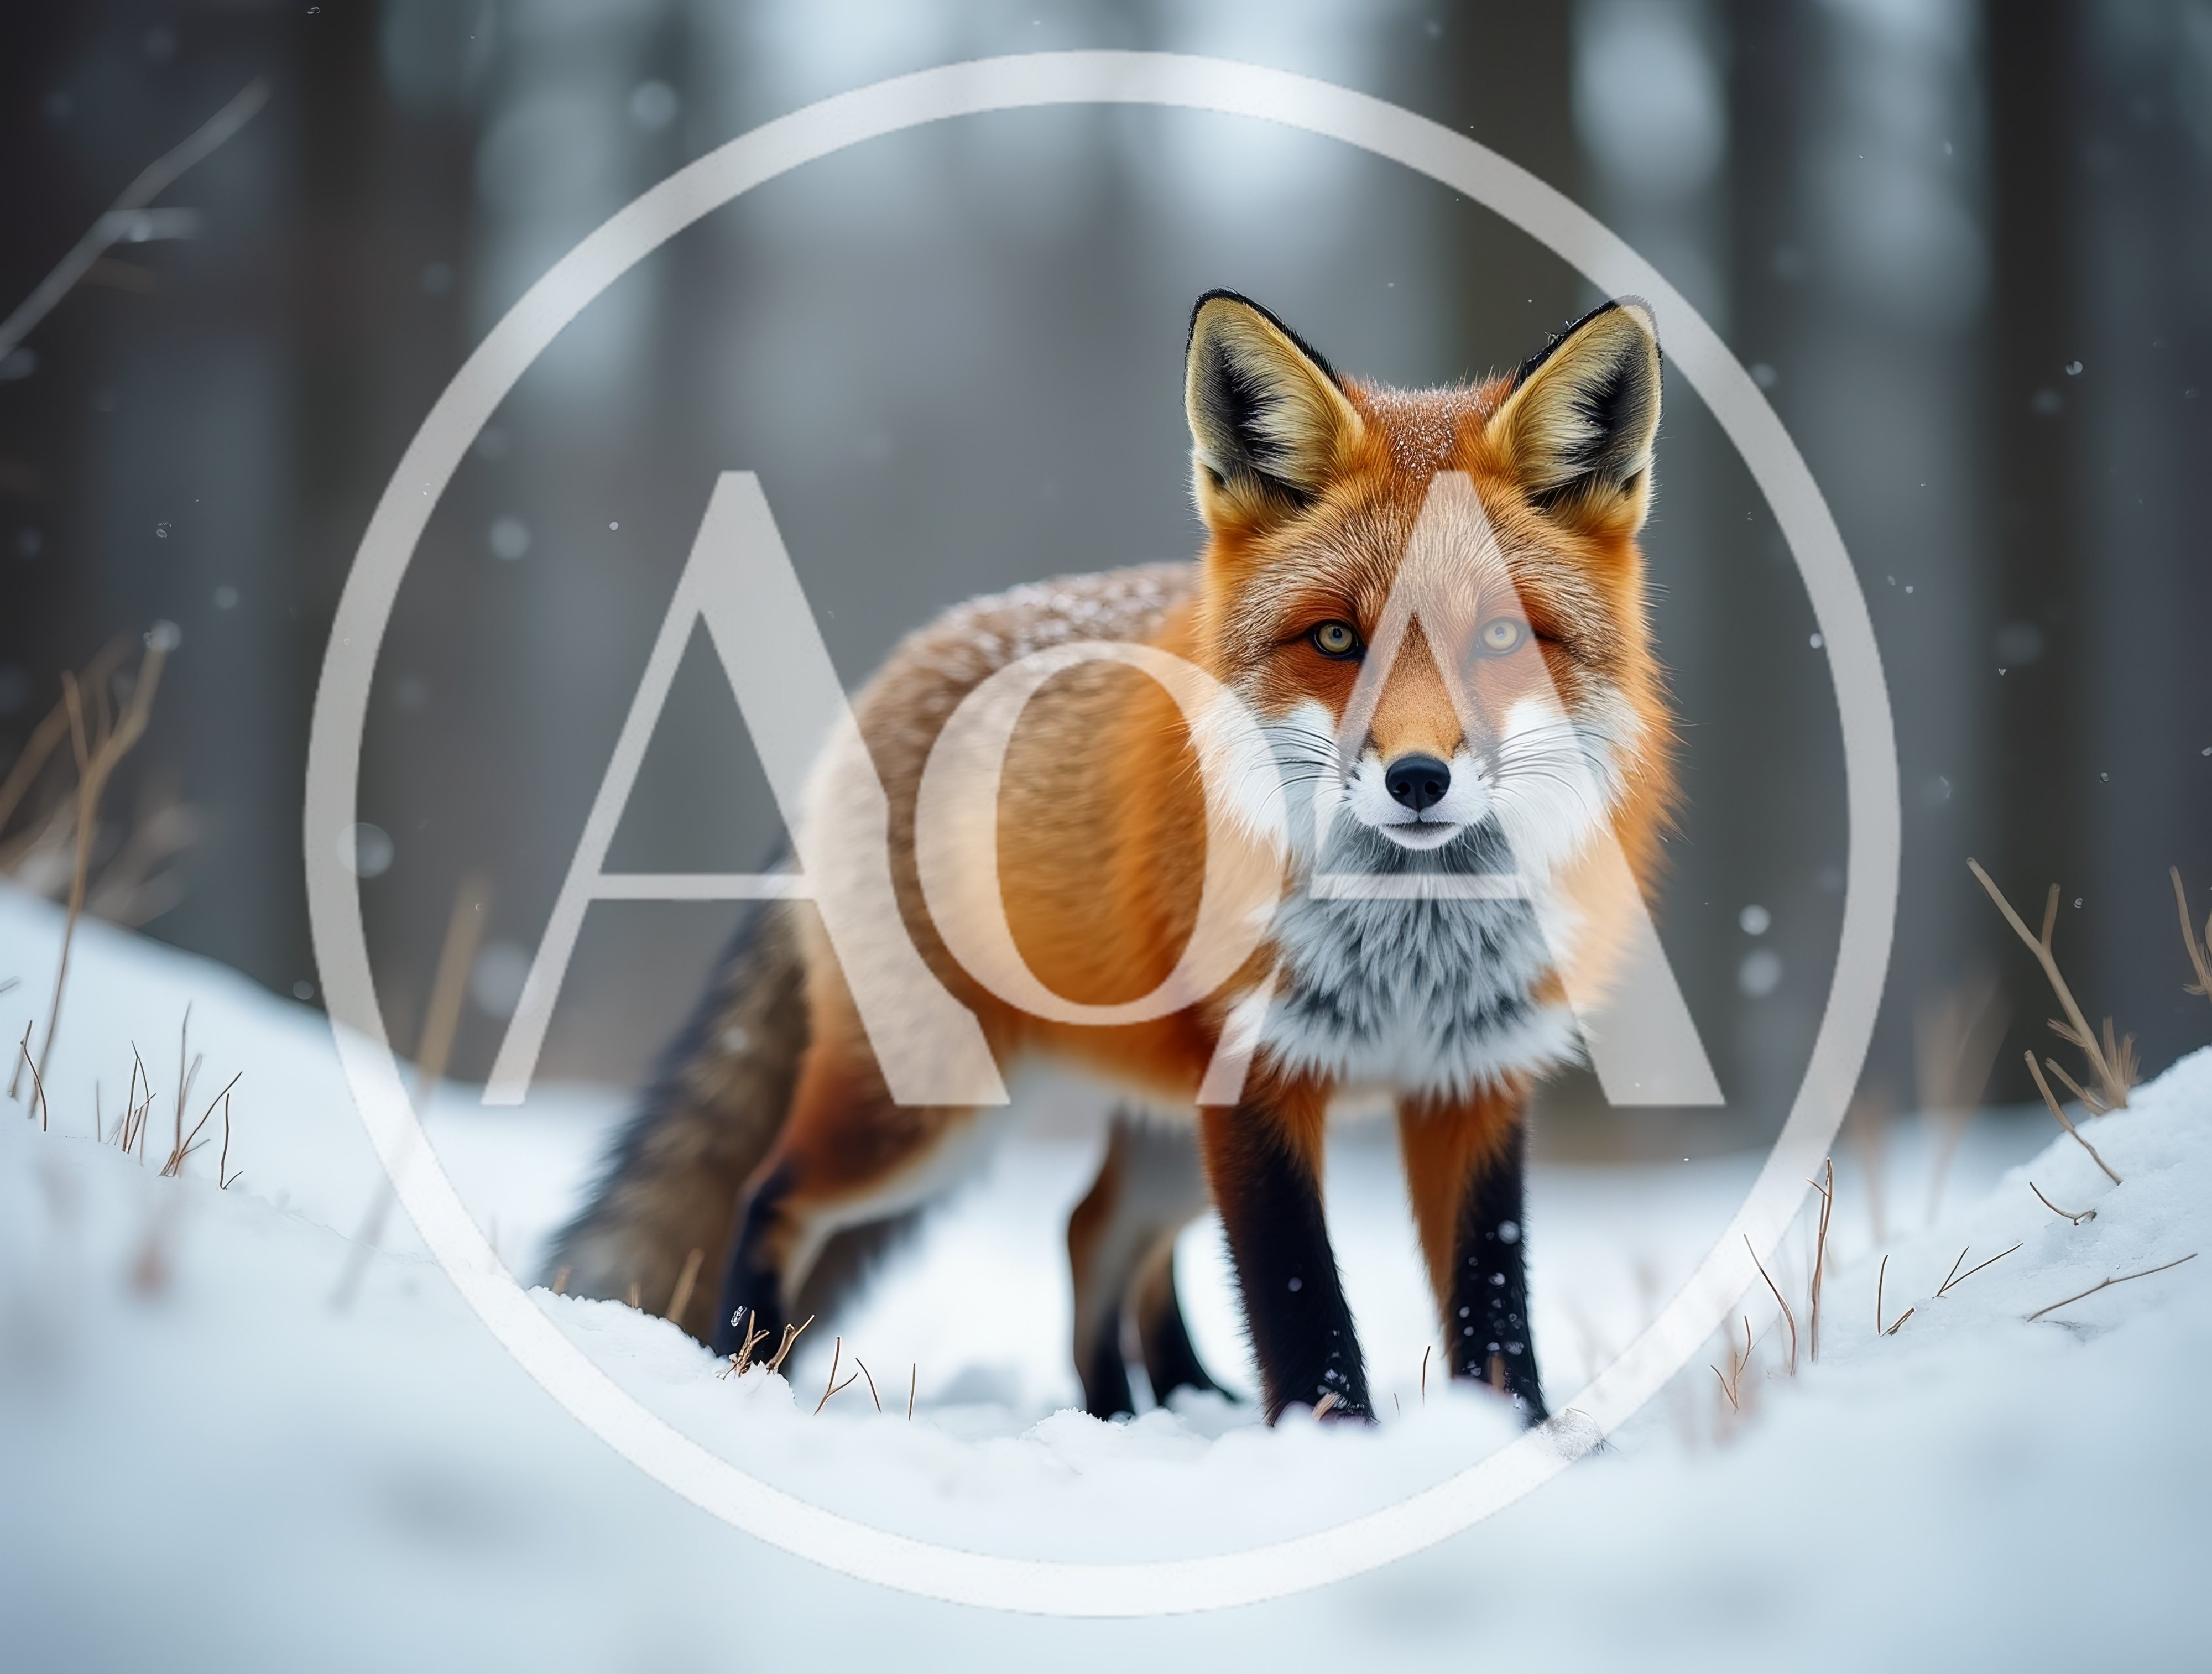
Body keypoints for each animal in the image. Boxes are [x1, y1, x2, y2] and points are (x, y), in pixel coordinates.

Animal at [548, 289, 1675, 1425]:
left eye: (1500, 638)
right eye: (1335, 639)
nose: (1415, 779)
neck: (1408, 936)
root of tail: (894, 669)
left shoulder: (1474, 1078)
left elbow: (1494, 1310)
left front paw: (1508, 1437)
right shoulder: (1256, 1079)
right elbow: (1302, 1304)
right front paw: (1336, 1447)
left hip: (1154, 1130)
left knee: (1095, 1229)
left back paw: (1148, 1406)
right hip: (927, 1109)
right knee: (772, 1193)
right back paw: (751, 1375)